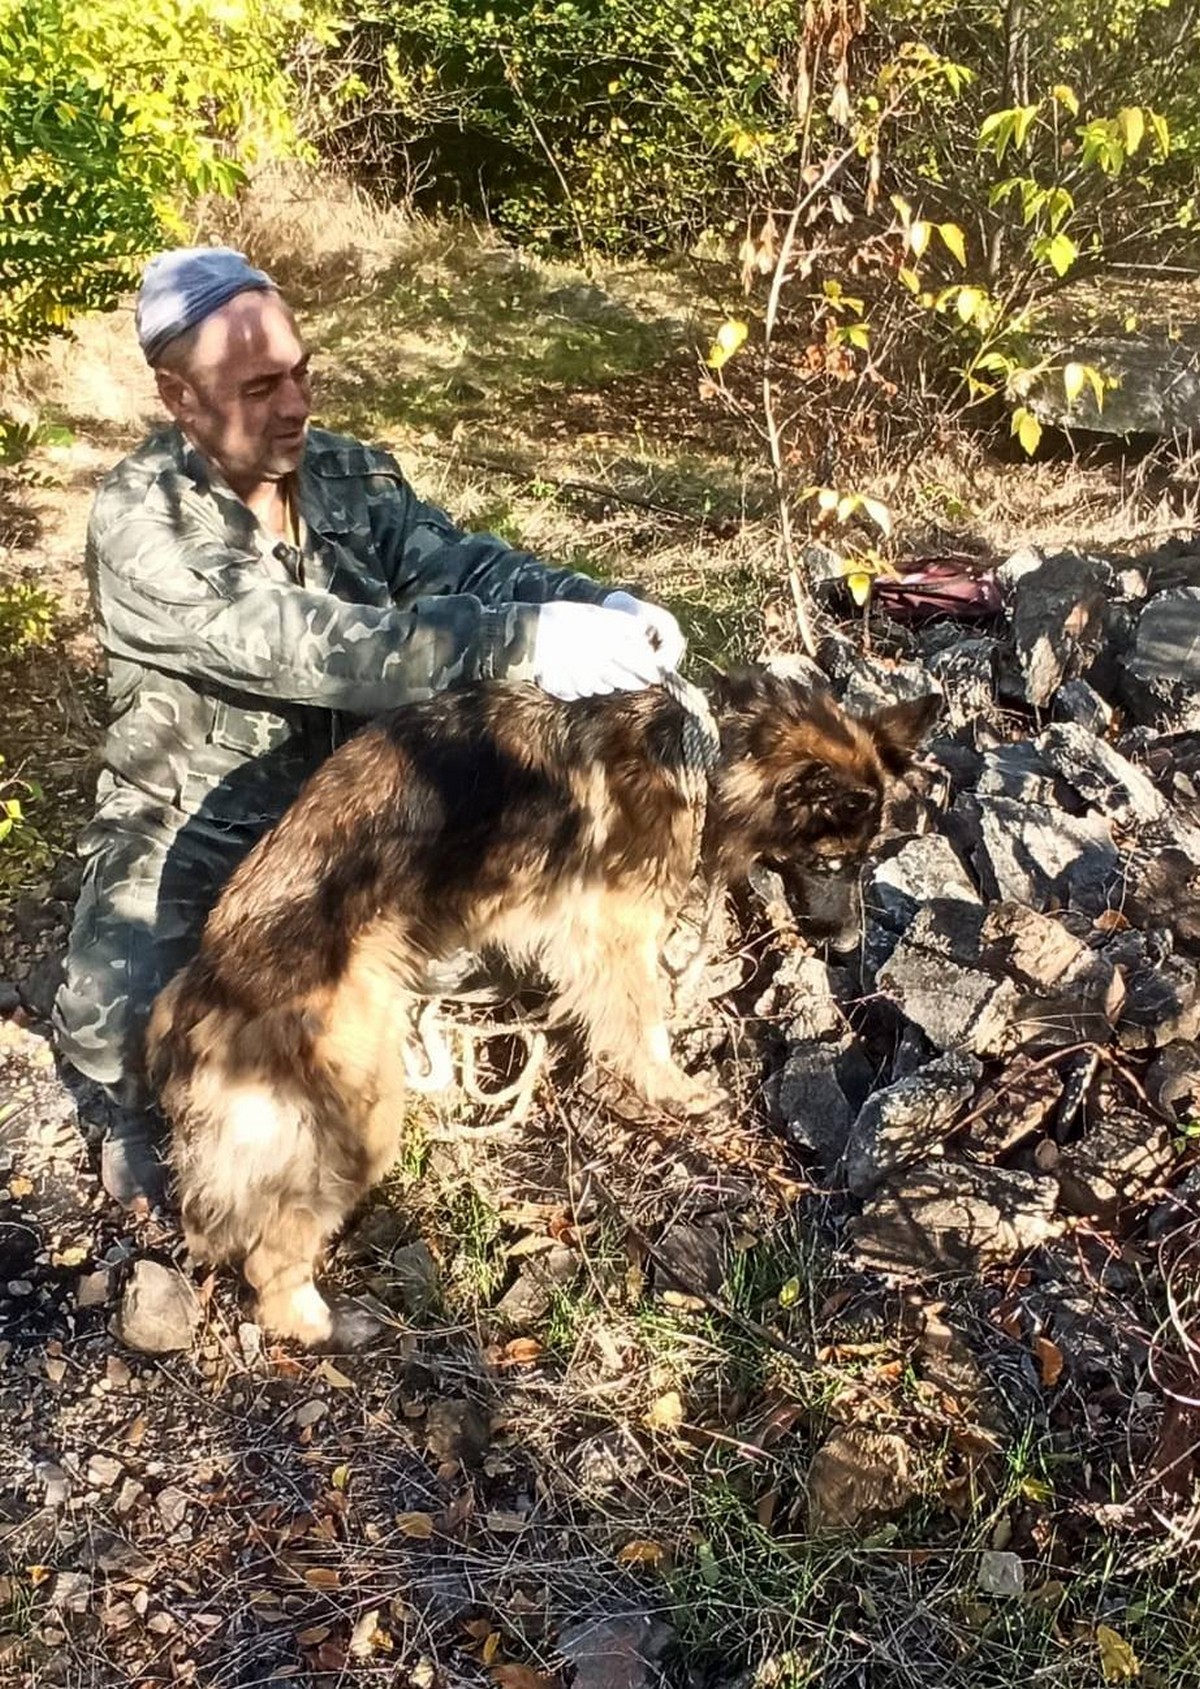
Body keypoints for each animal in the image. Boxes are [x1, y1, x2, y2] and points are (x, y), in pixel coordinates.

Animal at [147, 672, 939, 1344]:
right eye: (833, 861)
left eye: (863, 859)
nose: (851, 945)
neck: (705, 754)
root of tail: (204, 981)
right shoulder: (613, 933)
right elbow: (642, 1019)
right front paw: (672, 1087)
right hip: (359, 1115)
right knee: (270, 1252)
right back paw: (319, 1322)